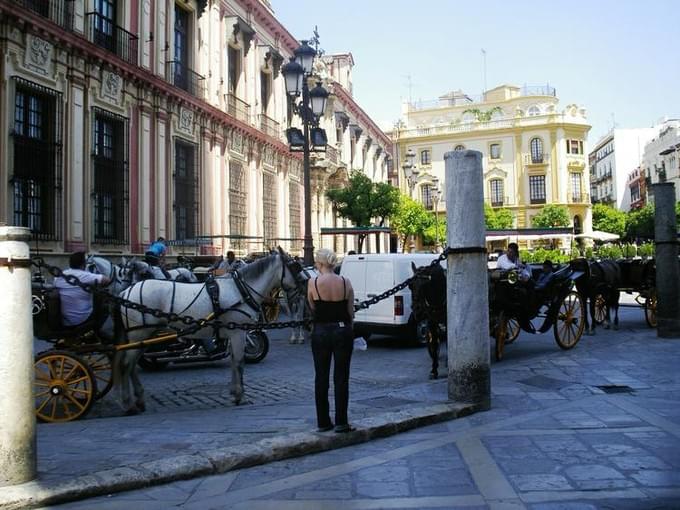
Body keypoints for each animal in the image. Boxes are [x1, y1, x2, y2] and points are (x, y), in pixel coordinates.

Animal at [112, 250, 302, 414]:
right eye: (295, 267)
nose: (302, 287)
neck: (241, 291)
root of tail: (125, 292)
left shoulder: (234, 333)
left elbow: (234, 362)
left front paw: (234, 392)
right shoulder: (238, 333)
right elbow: (239, 363)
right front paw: (241, 396)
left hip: (144, 337)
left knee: (131, 365)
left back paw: (139, 399)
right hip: (139, 334)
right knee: (126, 364)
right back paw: (128, 403)